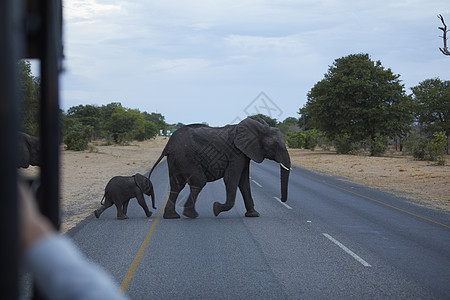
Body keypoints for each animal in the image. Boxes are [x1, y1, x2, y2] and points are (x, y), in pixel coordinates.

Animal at [149, 116, 292, 218]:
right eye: (275, 146)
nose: (282, 200)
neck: (258, 128)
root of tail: (168, 145)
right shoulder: (236, 153)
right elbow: (231, 179)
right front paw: (216, 208)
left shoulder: (244, 154)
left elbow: (244, 182)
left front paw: (253, 215)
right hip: (186, 157)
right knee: (198, 182)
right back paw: (191, 215)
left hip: (176, 159)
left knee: (176, 185)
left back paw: (172, 216)